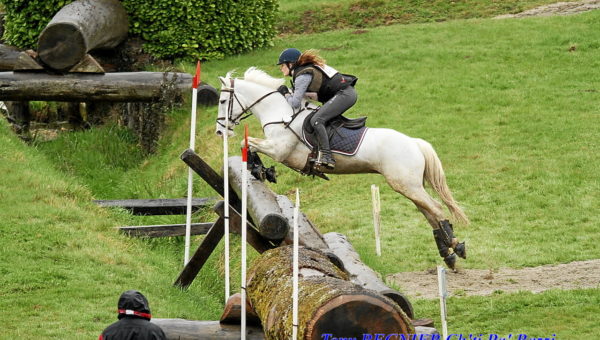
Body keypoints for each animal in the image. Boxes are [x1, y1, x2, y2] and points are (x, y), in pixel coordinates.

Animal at [216, 66, 468, 268]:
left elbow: (247, 142)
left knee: (436, 208)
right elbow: (247, 144)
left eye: (221, 102)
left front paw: (260, 169)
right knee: (429, 212)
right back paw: (448, 253)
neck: (280, 113)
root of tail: (415, 143)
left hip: (405, 184)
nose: (220, 131)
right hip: (409, 186)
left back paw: (455, 245)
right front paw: (261, 169)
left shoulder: (280, 150)